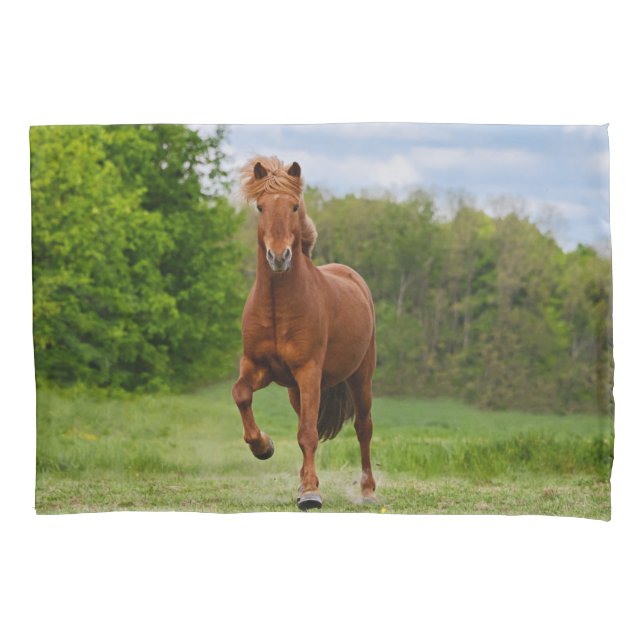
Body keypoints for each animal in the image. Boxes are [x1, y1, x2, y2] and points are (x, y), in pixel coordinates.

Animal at [231, 156, 377, 511]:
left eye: (294, 206)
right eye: (260, 207)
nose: (279, 256)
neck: (277, 307)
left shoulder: (309, 372)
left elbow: (308, 433)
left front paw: (311, 494)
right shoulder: (257, 367)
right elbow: (241, 394)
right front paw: (263, 446)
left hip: (360, 377)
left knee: (363, 427)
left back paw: (367, 491)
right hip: (295, 391)